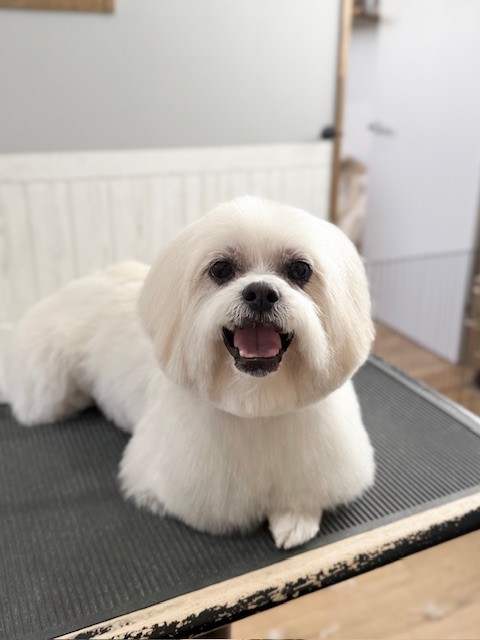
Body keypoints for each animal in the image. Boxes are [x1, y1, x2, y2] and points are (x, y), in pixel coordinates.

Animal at [5, 197, 375, 549]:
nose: (260, 292)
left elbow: (306, 498)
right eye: (220, 268)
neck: (258, 402)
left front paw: (296, 519)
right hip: (48, 390)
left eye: (299, 269)